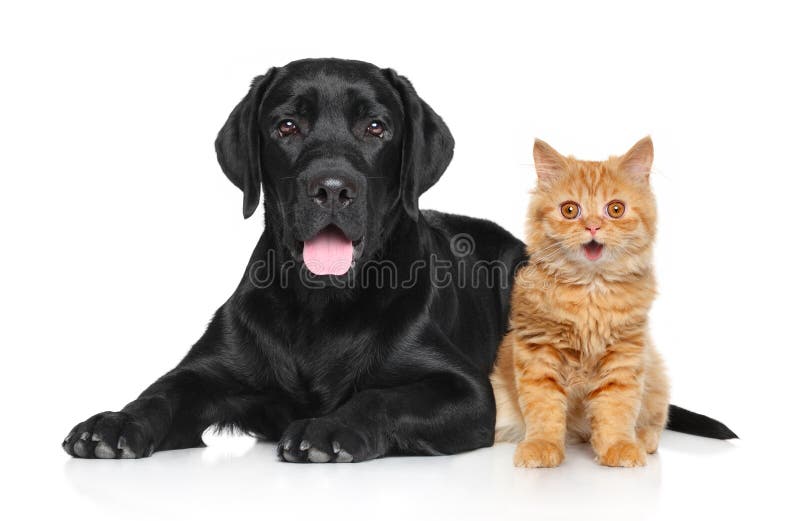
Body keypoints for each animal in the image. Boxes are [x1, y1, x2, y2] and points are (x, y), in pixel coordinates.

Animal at [494, 135, 668, 468]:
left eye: (615, 209)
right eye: (570, 210)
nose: (592, 226)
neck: (590, 292)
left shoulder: (624, 355)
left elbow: (616, 410)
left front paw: (618, 448)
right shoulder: (538, 353)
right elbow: (544, 410)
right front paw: (540, 447)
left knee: (654, 421)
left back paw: (642, 439)